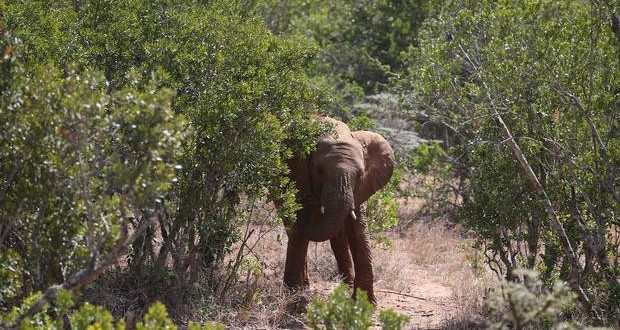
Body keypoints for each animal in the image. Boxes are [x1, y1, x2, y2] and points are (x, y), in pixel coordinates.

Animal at [280, 116, 394, 304]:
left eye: (360, 175)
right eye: (319, 171)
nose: (310, 198)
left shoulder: (359, 190)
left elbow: (359, 230)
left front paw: (365, 303)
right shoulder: (296, 174)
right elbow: (298, 229)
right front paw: (295, 295)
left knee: (338, 234)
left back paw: (346, 284)